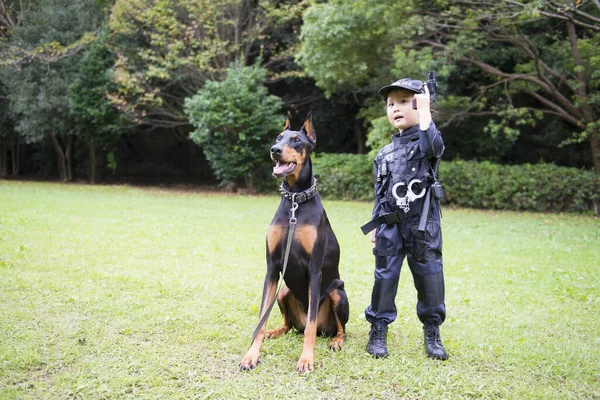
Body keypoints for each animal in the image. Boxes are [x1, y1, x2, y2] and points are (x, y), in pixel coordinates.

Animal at [240, 113, 350, 376]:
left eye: (296, 140)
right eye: (278, 138)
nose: (275, 150)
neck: (295, 202)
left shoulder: (315, 270)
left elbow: (310, 325)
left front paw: (306, 359)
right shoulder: (272, 268)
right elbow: (262, 316)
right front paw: (251, 355)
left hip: (337, 292)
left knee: (335, 329)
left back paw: (336, 341)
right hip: (284, 291)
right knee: (290, 325)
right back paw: (274, 332)